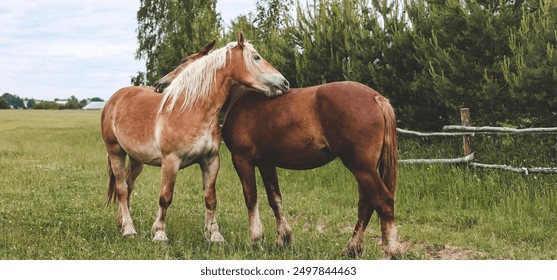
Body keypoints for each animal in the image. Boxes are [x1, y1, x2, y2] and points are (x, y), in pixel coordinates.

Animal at [101, 32, 288, 242]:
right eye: (256, 57)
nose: (285, 83)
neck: (192, 110)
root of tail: (115, 98)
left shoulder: (211, 160)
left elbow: (210, 198)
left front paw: (215, 235)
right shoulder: (171, 161)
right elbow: (165, 197)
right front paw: (160, 234)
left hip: (136, 159)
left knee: (128, 186)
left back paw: (122, 223)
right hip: (116, 152)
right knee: (121, 189)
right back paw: (129, 229)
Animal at [156, 48, 400, 258]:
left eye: (186, 62)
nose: (160, 84)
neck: (240, 98)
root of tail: (376, 98)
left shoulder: (243, 160)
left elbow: (251, 196)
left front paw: (255, 239)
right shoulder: (267, 163)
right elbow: (275, 198)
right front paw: (284, 238)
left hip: (361, 167)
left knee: (383, 201)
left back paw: (391, 250)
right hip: (364, 168)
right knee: (366, 205)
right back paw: (351, 249)